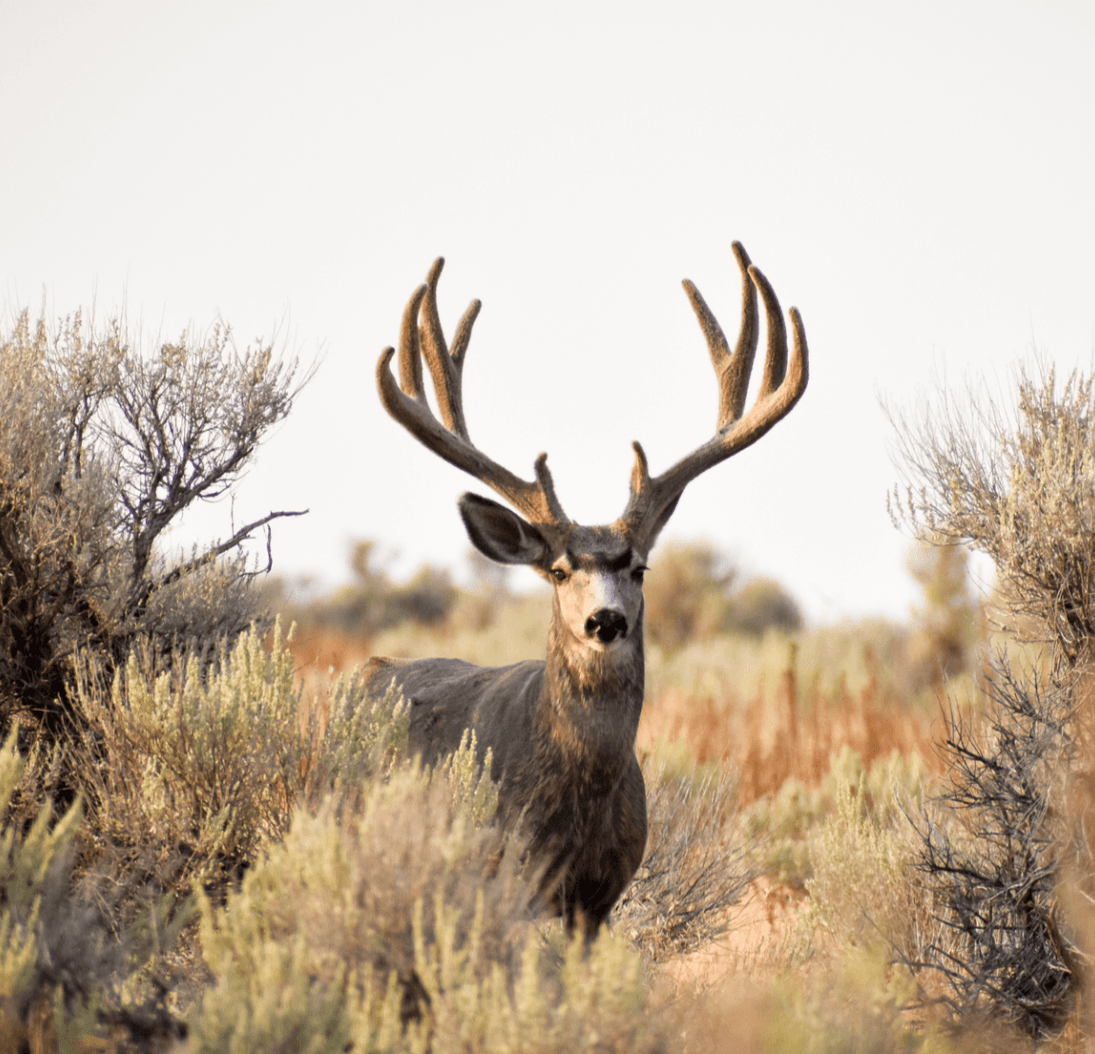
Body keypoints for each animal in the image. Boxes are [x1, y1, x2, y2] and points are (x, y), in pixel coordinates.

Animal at [363, 242, 810, 936]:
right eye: (558, 570)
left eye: (639, 566)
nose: (605, 620)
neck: (580, 797)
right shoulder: (510, 873)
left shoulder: (600, 896)